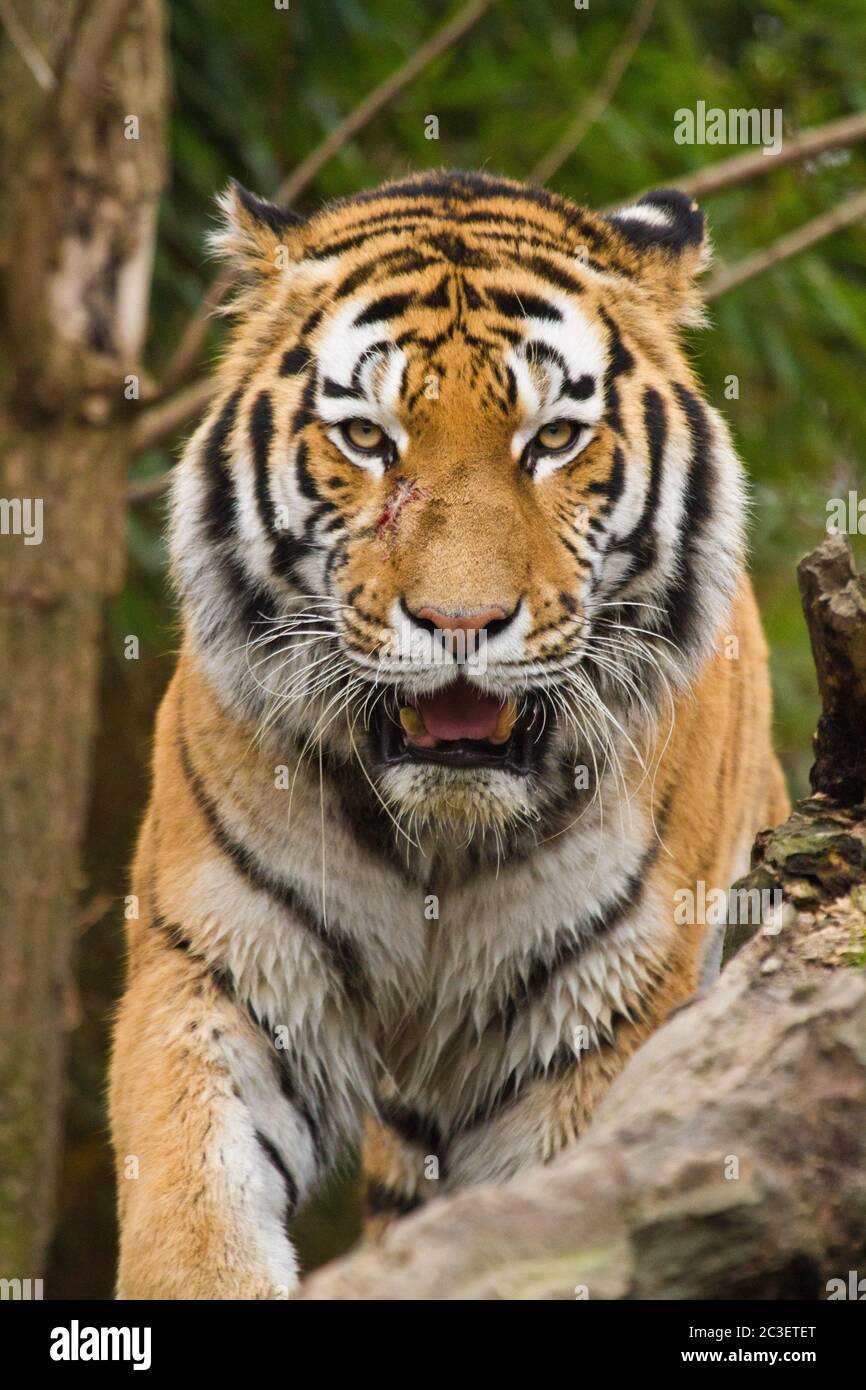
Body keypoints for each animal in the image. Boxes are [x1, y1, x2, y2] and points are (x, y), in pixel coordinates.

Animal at [110, 169, 788, 1298]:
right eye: (367, 440)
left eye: (551, 440)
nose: (460, 622)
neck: (441, 839)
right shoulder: (222, 970)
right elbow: (194, 1204)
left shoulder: (597, 1020)